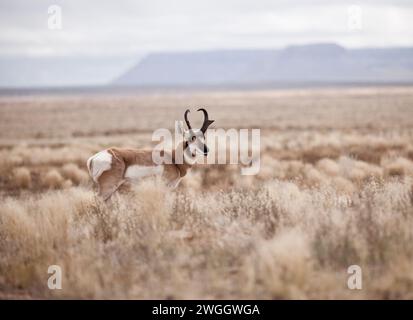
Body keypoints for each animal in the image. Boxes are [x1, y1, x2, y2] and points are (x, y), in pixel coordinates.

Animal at [87, 109, 216, 201]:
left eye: (203, 137)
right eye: (191, 138)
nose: (206, 150)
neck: (173, 159)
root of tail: (93, 158)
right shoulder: (165, 189)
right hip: (108, 188)